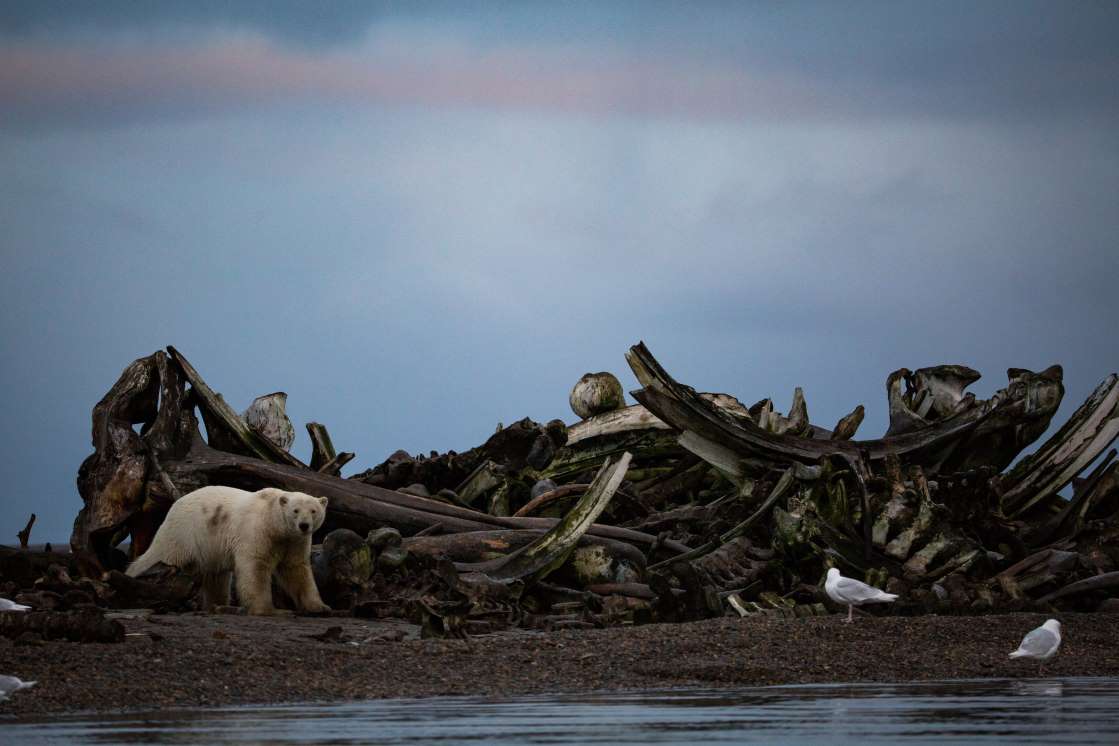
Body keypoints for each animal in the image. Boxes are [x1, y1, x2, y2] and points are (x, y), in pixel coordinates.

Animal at [127, 487, 328, 617]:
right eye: (295, 510)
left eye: (313, 511)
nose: (304, 525)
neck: (274, 522)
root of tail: (175, 504)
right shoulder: (257, 532)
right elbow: (255, 567)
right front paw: (270, 610)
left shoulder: (294, 541)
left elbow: (296, 569)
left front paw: (319, 607)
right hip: (186, 532)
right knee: (163, 556)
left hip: (209, 548)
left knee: (216, 577)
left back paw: (217, 605)